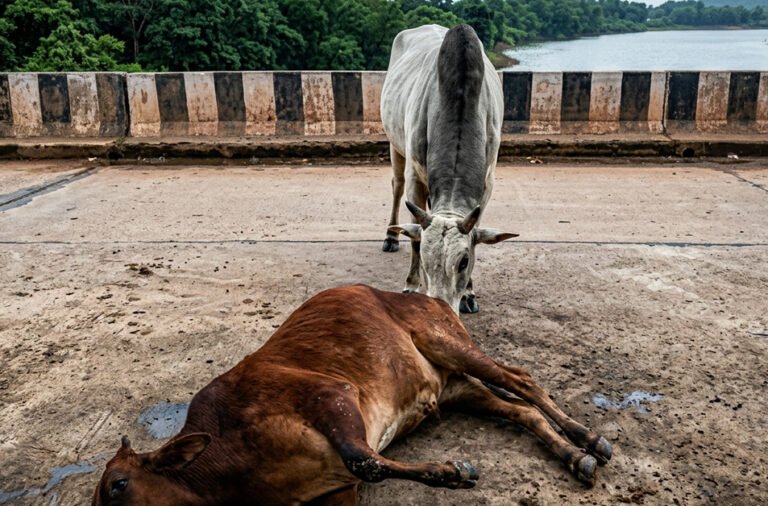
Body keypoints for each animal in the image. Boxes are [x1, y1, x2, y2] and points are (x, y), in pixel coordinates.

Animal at [93, 285, 612, 506]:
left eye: (118, 486)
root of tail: (428, 295)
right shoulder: (335, 492)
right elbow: (362, 466)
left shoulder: (330, 395)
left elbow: (365, 460)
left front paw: (451, 473)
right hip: (456, 388)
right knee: (520, 410)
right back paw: (574, 456)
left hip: (445, 342)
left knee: (523, 381)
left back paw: (588, 439)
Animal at [380, 24, 516, 315]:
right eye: (425, 259)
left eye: (464, 261)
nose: (441, 308)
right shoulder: (414, 176)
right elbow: (415, 238)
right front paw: (411, 285)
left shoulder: (487, 182)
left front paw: (469, 293)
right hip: (394, 143)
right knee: (396, 187)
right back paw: (391, 236)